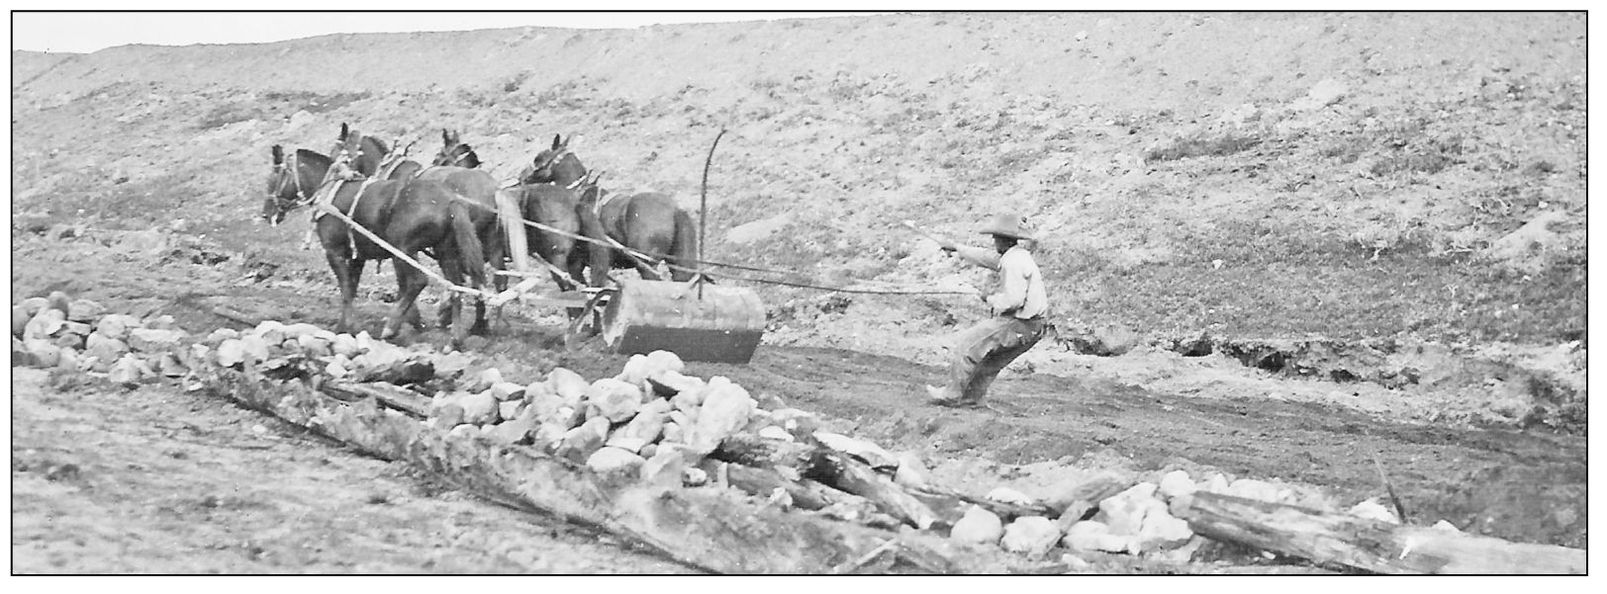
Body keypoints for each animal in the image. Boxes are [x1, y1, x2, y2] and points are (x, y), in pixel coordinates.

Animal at [263, 145, 485, 348]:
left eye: (273, 178)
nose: (266, 213)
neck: (331, 193)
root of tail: (449, 200)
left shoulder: (334, 252)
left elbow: (345, 288)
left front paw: (350, 326)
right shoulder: (357, 256)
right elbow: (351, 288)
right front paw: (342, 326)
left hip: (403, 249)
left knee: (417, 282)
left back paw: (392, 327)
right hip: (444, 252)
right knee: (455, 286)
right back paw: (455, 338)